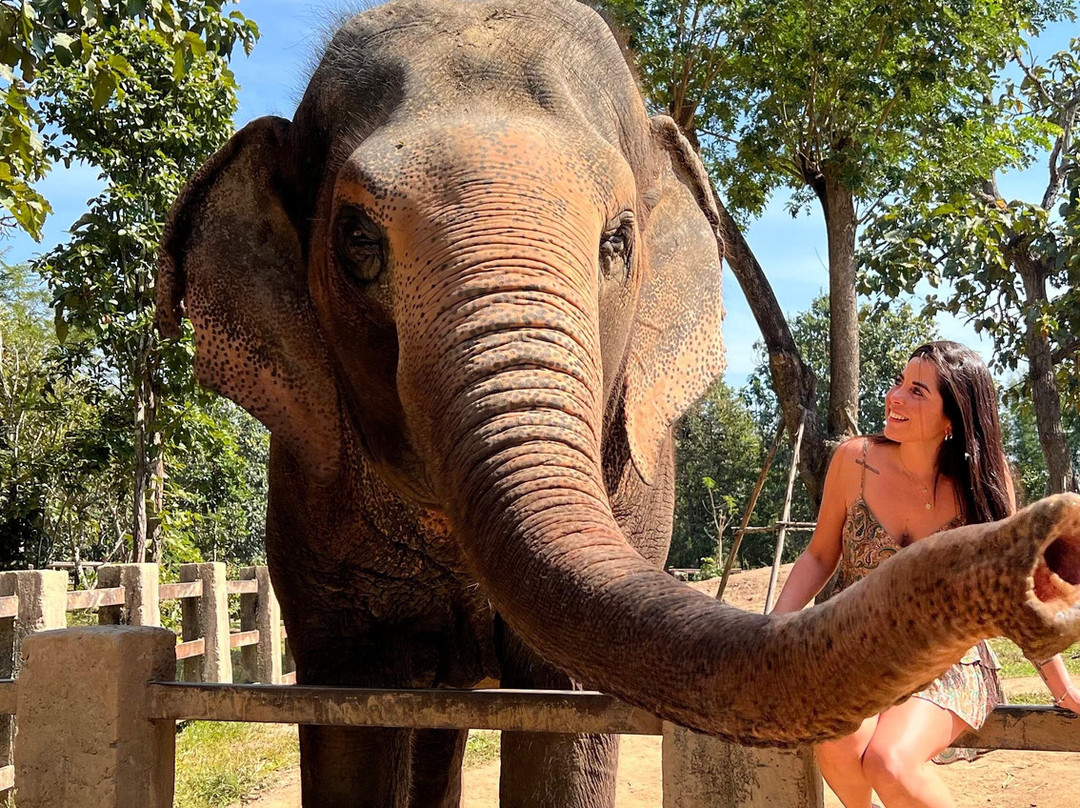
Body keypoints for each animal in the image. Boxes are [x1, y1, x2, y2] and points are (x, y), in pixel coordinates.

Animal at [156, 0, 1080, 805]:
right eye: (356, 241)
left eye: (617, 240)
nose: (1051, 552)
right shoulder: (312, 503)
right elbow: (352, 715)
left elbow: (567, 721)